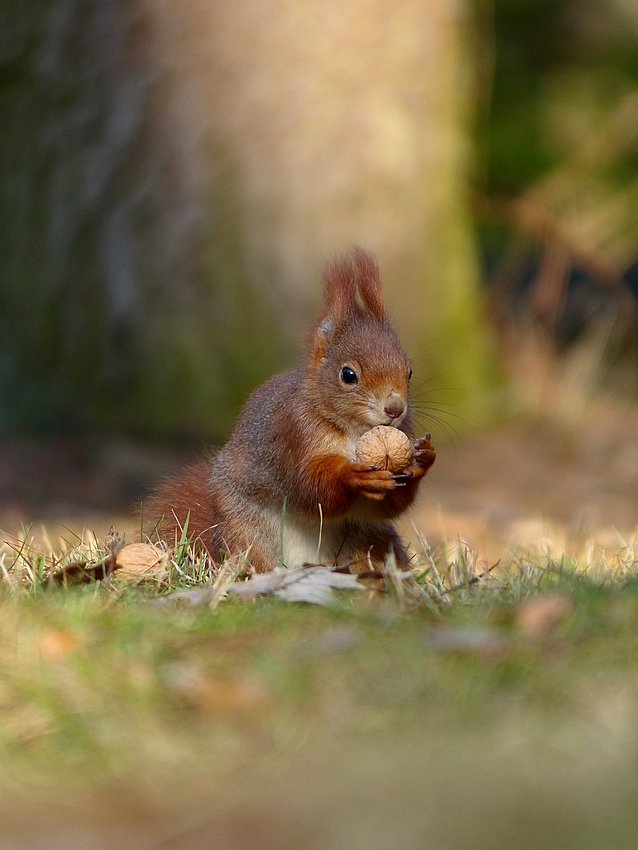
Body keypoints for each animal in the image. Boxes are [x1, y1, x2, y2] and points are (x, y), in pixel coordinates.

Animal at [145, 249, 436, 573]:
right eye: (348, 375)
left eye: (409, 372)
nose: (395, 409)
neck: (354, 431)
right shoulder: (291, 435)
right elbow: (310, 488)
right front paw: (351, 475)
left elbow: (387, 506)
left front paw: (423, 458)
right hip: (243, 533)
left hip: (373, 543)